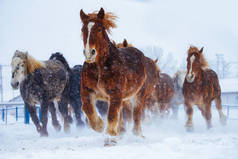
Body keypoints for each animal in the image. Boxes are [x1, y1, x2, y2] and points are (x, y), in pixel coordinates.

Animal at [80, 7, 158, 144]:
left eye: (99, 29)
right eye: (83, 30)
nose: (90, 53)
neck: (100, 68)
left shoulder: (115, 93)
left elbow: (112, 115)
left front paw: (110, 136)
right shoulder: (87, 91)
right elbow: (87, 108)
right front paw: (100, 125)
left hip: (139, 95)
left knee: (136, 114)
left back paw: (137, 134)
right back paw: (121, 132)